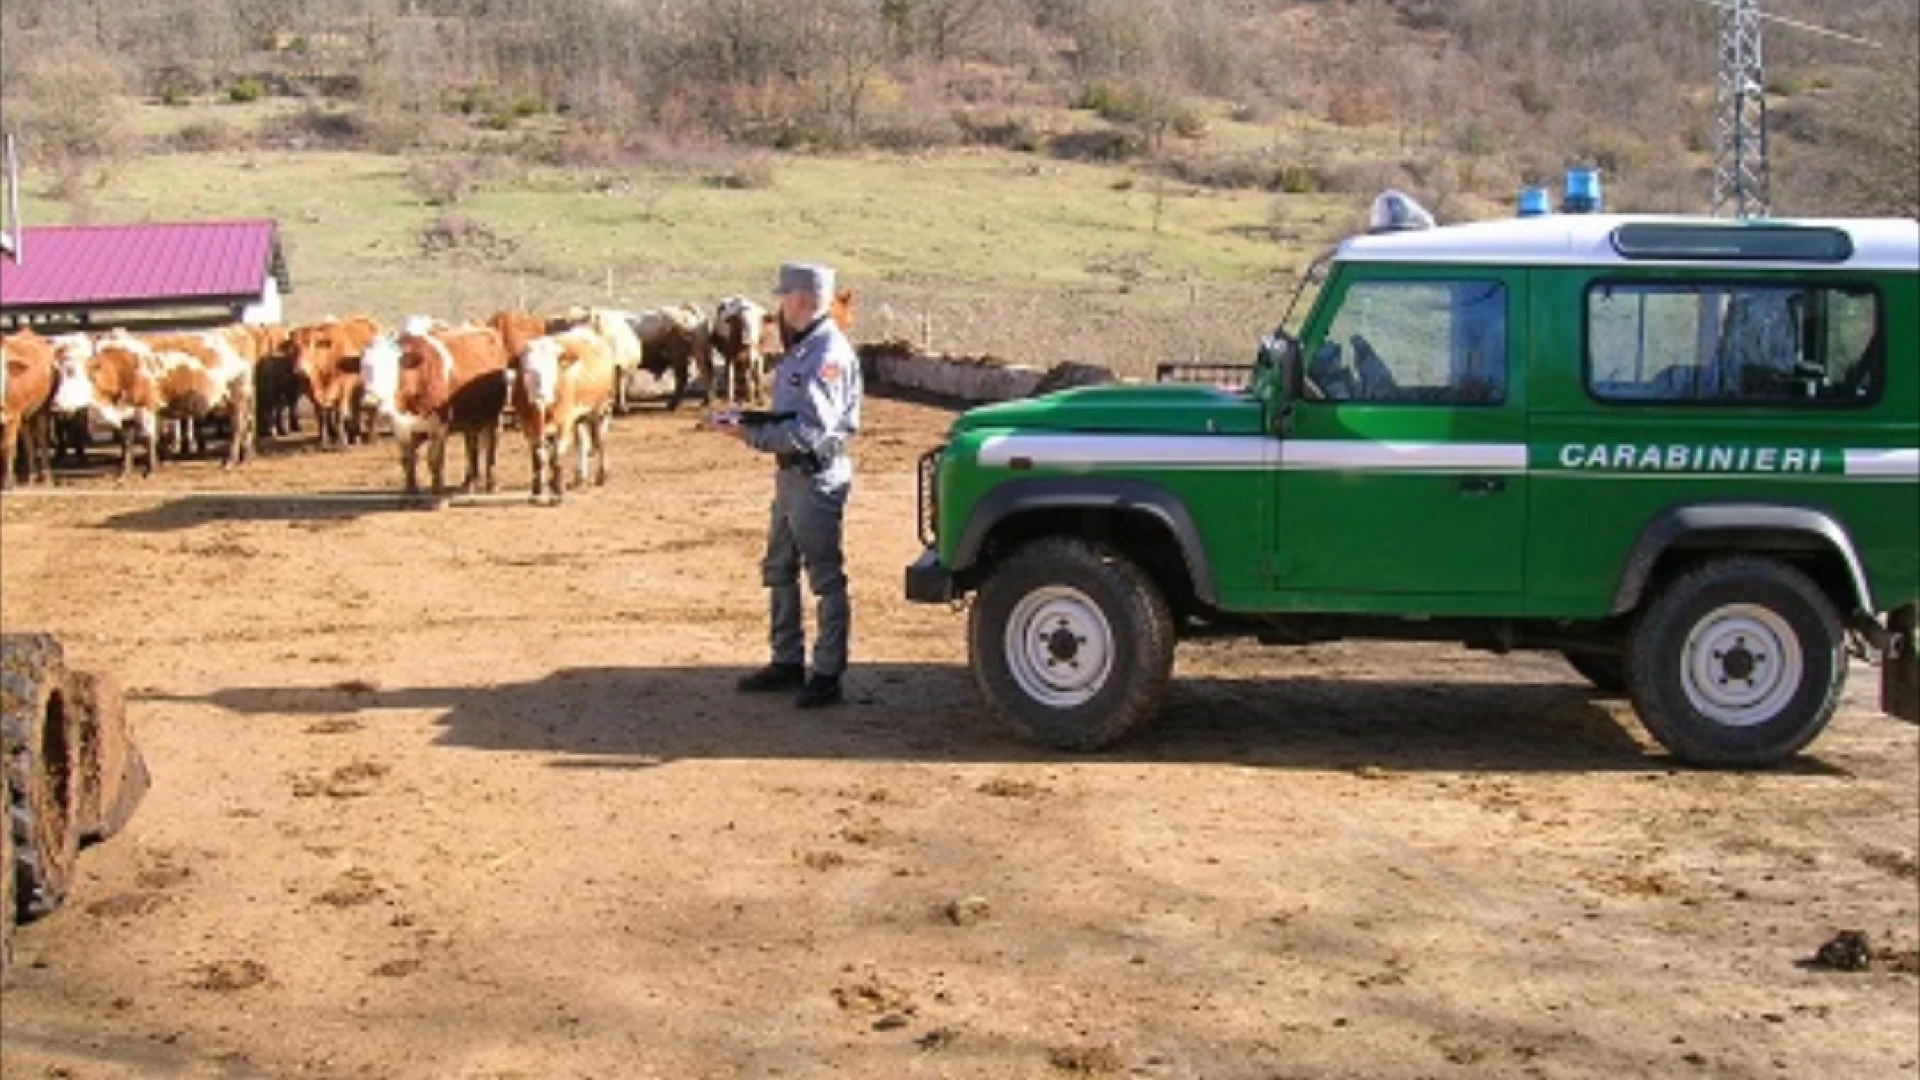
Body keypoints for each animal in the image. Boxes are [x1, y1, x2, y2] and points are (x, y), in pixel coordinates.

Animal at [2, 322, 58, 484]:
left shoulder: (13, 415)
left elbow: (9, 446)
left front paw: (9, 482)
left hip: (43, 409)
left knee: (42, 438)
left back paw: (47, 478)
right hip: (26, 415)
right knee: (28, 442)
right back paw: (32, 476)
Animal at [50, 328, 164, 478]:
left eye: (75, 376)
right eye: (59, 377)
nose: (55, 405)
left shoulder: (146, 407)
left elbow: (148, 438)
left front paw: (150, 470)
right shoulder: (124, 415)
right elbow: (126, 442)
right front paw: (124, 471)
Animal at [288, 313, 382, 447]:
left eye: (313, 346)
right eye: (294, 347)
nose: (300, 369)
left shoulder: (343, 388)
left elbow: (339, 415)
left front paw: (342, 442)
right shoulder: (312, 393)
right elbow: (321, 417)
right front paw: (323, 441)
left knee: (368, 410)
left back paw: (367, 437)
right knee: (356, 409)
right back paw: (355, 435)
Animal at [360, 315, 510, 491]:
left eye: (391, 368)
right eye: (363, 368)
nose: (369, 403)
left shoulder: (439, 426)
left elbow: (435, 460)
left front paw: (437, 492)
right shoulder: (400, 426)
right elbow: (408, 459)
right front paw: (410, 491)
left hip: (494, 416)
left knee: (491, 446)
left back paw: (491, 483)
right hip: (470, 419)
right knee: (471, 446)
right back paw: (469, 482)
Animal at [514, 326, 618, 503]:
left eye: (552, 370)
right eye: (526, 371)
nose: (540, 396)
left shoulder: (564, 423)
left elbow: (555, 457)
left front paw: (557, 493)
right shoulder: (527, 425)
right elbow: (537, 456)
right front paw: (537, 491)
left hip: (600, 409)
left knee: (600, 440)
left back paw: (601, 475)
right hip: (579, 418)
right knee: (583, 442)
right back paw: (579, 477)